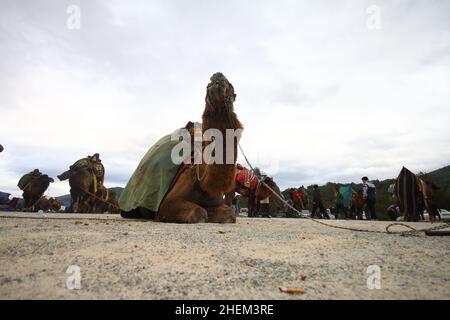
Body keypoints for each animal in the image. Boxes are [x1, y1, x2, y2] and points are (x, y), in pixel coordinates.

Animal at [156, 73, 244, 222]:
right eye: (207, 85)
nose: (217, 77)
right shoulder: (165, 203)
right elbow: (199, 211)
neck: (203, 184)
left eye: (231, 86)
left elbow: (230, 215)